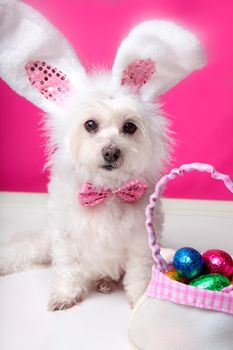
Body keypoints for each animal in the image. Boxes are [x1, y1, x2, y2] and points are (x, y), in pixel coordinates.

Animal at [0, 0, 206, 312]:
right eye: (90, 125)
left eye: (130, 127)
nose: (111, 151)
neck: (107, 192)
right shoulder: (65, 237)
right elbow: (67, 269)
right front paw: (65, 295)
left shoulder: (141, 242)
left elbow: (138, 274)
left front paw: (139, 299)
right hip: (45, 243)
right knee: (28, 250)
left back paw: (105, 282)